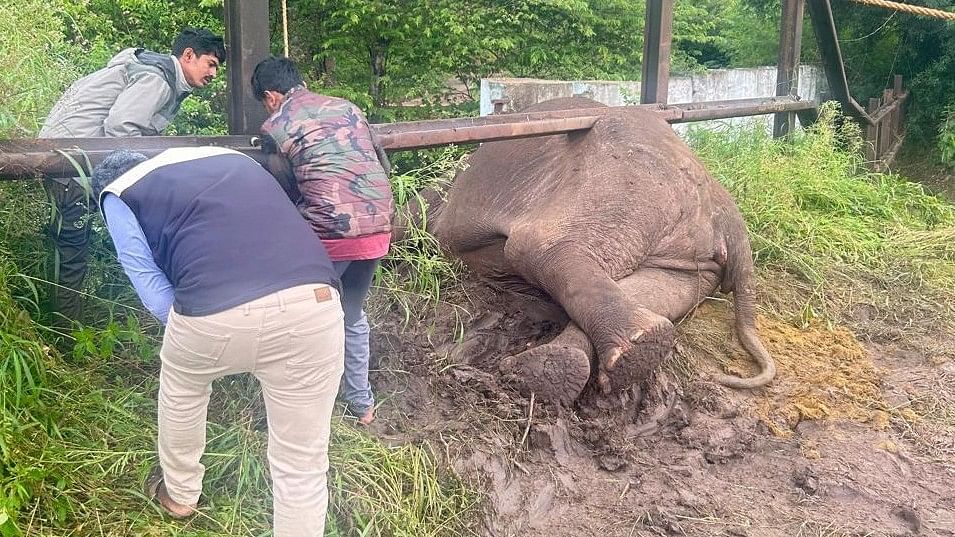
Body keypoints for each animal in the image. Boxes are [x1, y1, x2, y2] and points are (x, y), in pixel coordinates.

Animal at [408, 97, 776, 406]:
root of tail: (726, 210)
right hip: (690, 258)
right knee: (653, 290)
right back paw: (555, 371)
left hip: (626, 183)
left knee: (536, 245)